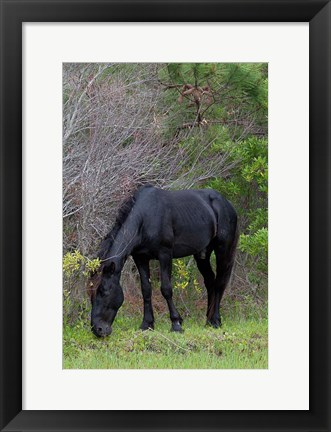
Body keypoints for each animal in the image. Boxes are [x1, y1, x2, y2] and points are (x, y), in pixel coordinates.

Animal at [88, 186, 239, 338]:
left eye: (103, 291)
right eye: (90, 294)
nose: (98, 330)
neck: (145, 217)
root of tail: (227, 204)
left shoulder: (165, 254)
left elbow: (166, 289)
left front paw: (176, 323)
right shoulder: (140, 258)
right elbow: (146, 289)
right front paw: (147, 324)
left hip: (223, 249)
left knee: (219, 283)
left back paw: (216, 320)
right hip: (202, 254)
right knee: (210, 282)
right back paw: (208, 321)